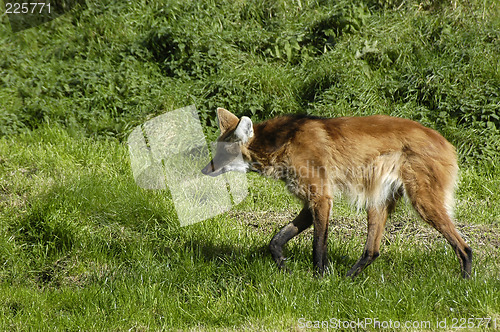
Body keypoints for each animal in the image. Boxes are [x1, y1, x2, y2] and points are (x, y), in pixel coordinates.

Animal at [201, 107, 470, 278]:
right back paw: (347, 280)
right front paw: (285, 269)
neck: (282, 143)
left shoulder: (321, 198)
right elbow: (275, 240)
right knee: (372, 250)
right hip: (378, 198)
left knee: (464, 247)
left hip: (422, 201)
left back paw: (464, 283)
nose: (204, 170)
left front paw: (319, 279)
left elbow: (318, 245)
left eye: (222, 154)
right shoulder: (310, 201)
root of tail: (447, 142)